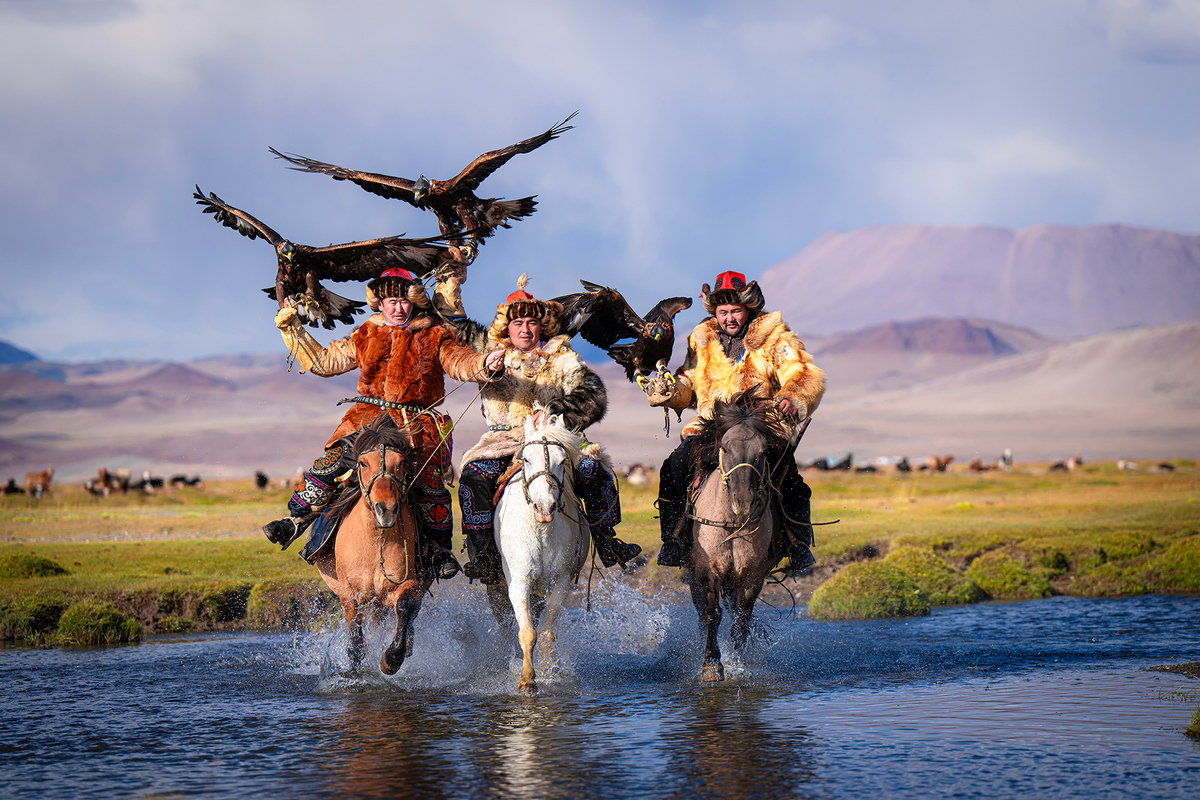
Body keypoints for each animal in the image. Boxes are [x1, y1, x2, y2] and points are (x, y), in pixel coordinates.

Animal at [312, 417, 434, 681]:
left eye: (401, 463)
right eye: (362, 463)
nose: (385, 509)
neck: (375, 543)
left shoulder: (406, 584)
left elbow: (405, 607)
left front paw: (391, 659)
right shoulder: (349, 593)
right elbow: (356, 639)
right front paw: (353, 671)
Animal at [484, 412, 592, 695]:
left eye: (563, 461)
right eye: (526, 459)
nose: (544, 508)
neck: (540, 530)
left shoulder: (560, 583)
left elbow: (545, 633)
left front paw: (548, 673)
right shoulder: (519, 582)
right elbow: (527, 632)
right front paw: (526, 680)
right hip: (497, 588)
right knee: (505, 628)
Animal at [681, 393, 792, 681]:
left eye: (763, 451)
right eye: (725, 448)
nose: (743, 501)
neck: (732, 524)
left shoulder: (753, 575)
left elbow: (741, 621)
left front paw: (739, 664)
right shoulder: (707, 570)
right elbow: (711, 614)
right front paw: (711, 663)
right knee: (701, 613)